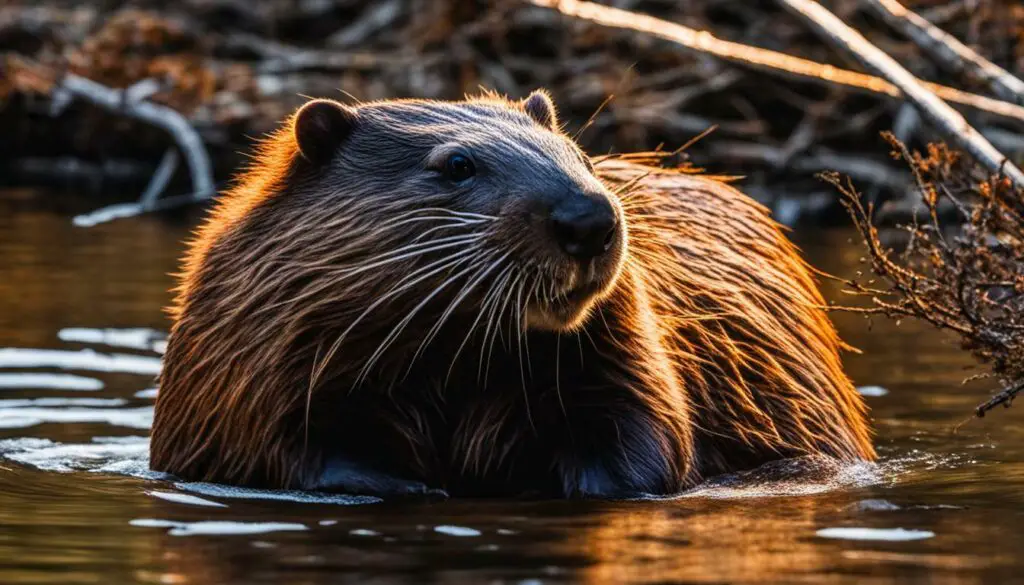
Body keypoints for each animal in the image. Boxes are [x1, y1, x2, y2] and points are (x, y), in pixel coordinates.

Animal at [149, 91, 872, 499]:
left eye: (578, 154)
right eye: (457, 164)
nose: (589, 219)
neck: (455, 359)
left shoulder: (623, 343)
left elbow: (647, 439)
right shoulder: (254, 356)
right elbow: (282, 447)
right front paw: (417, 486)